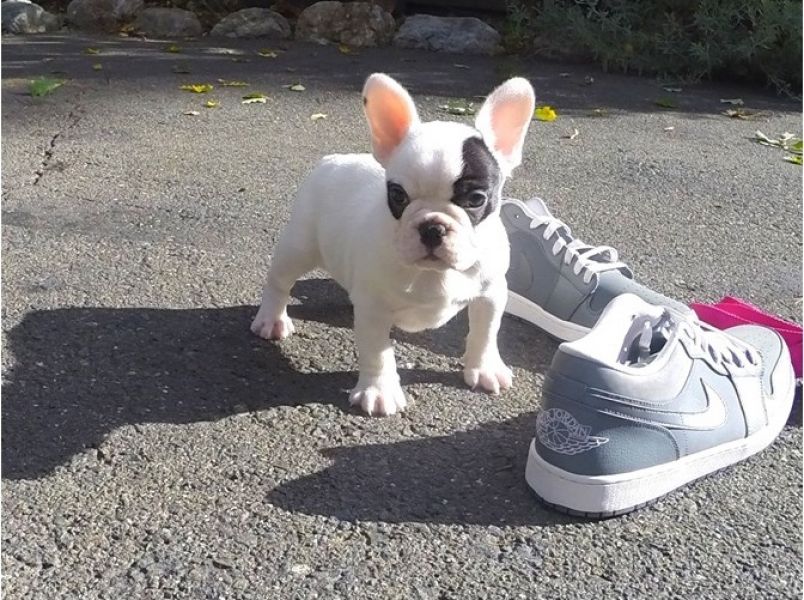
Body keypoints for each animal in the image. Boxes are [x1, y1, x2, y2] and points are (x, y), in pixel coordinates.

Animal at [251, 73, 535, 416]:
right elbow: (377, 352)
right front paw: (379, 390)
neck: (434, 273)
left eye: (477, 199)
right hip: (300, 246)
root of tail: (333, 160)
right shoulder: (374, 311)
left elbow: (485, 333)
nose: (432, 227)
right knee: (279, 281)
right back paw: (271, 320)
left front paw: (484, 369)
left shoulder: (490, 294)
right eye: (398, 196)